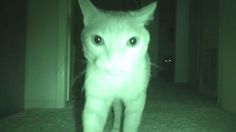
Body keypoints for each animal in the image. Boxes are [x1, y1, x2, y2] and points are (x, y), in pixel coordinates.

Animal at [77, 0, 158, 131]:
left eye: (133, 41)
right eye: (97, 39)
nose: (114, 61)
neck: (117, 81)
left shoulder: (136, 102)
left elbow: (130, 125)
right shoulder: (96, 100)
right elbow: (93, 123)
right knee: (118, 110)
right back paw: (115, 127)